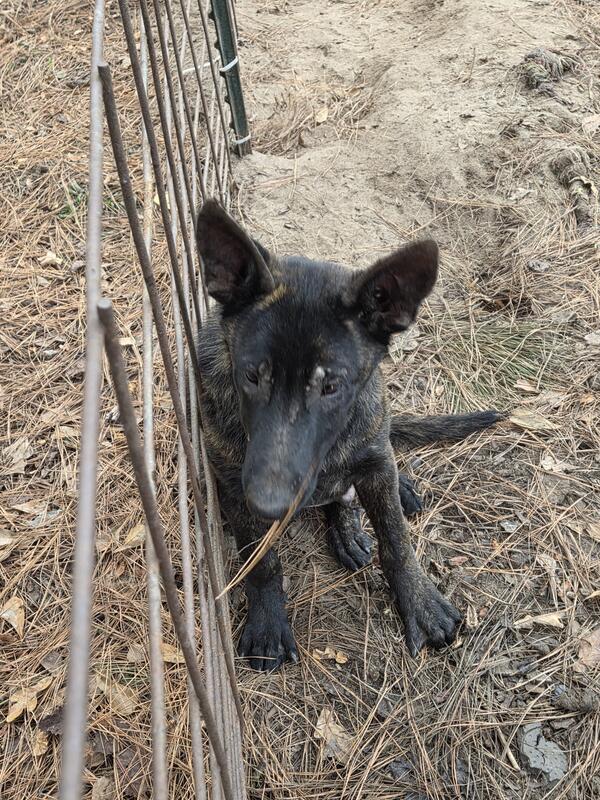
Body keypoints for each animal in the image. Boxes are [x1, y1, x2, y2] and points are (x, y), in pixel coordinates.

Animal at [195, 200, 502, 671]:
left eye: (331, 386)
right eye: (250, 376)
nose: (268, 504)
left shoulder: (373, 461)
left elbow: (396, 540)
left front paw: (420, 602)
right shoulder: (231, 481)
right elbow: (261, 560)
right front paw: (267, 621)